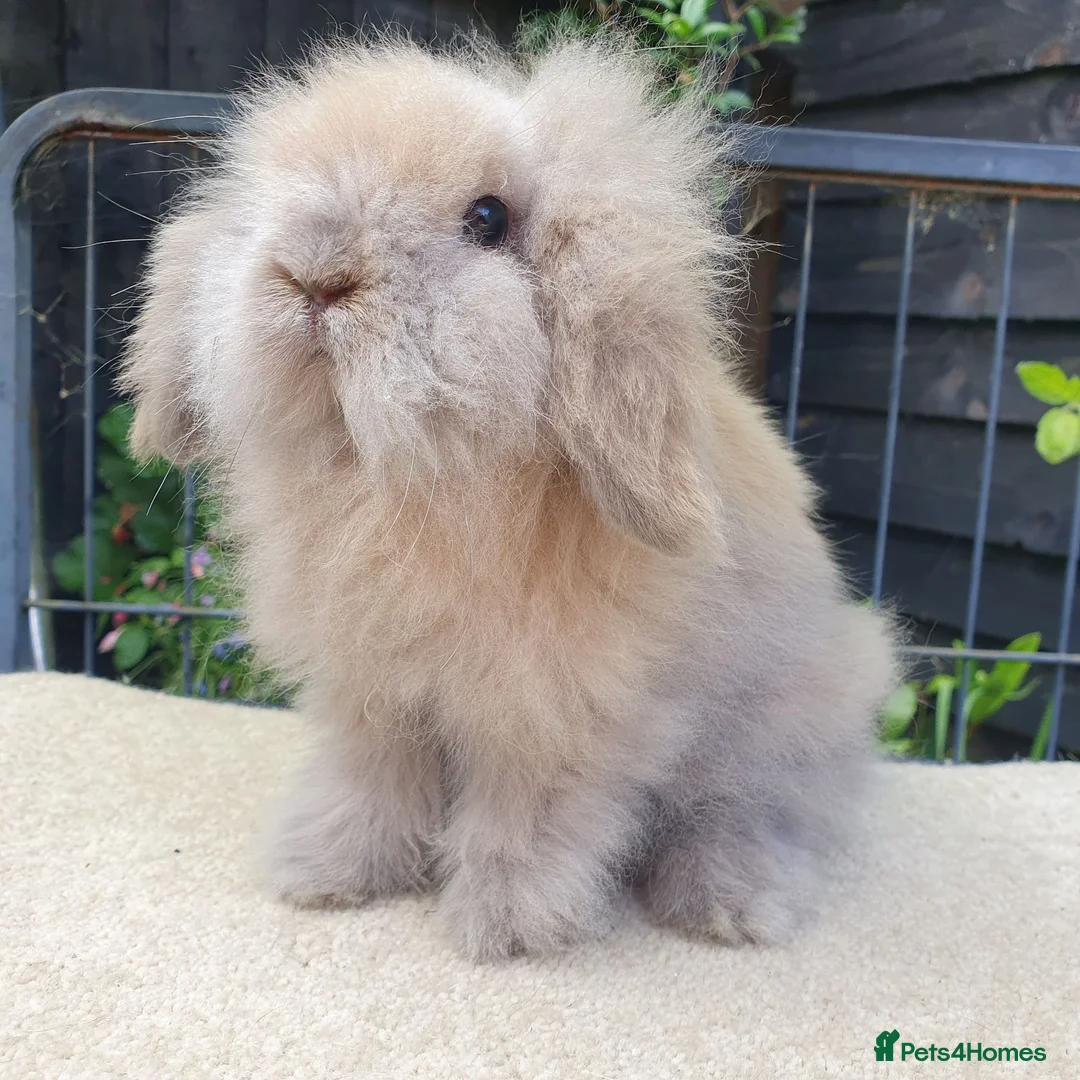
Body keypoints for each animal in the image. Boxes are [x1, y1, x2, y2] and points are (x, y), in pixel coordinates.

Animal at [119, 31, 900, 962]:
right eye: (270, 190)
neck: (410, 481)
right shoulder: (373, 694)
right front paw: (329, 874)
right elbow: (369, 780)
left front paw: (508, 925)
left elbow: (528, 816)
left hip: (780, 725)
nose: (314, 276)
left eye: (487, 220)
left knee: (748, 812)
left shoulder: (557, 712)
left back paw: (729, 904)